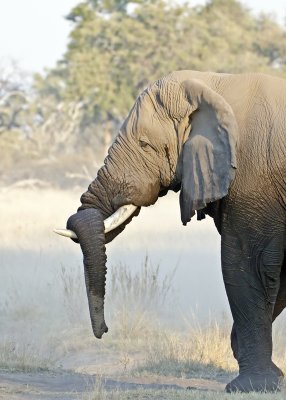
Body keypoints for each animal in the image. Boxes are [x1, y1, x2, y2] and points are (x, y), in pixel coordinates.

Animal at [55, 70, 286, 392]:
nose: (104, 331)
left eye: (144, 144)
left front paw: (252, 386)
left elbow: (249, 264)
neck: (214, 84)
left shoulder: (254, 177)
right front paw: (269, 373)